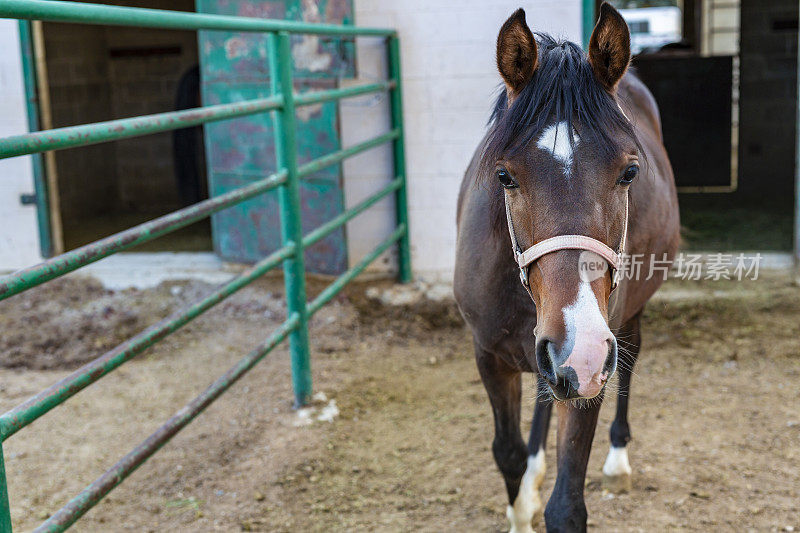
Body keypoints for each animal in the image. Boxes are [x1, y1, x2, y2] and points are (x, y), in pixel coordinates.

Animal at [454, 4, 680, 532]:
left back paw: (618, 460)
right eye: (504, 175)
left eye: (629, 172)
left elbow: (567, 505)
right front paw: (522, 508)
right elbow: (508, 453)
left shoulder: (591, 372)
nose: (580, 350)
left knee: (631, 360)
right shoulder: (489, 355)